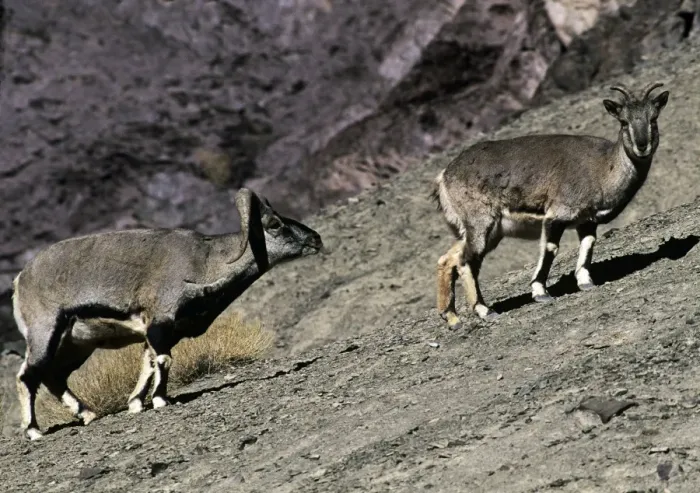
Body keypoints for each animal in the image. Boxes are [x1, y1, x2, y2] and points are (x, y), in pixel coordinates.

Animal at [12, 188, 323, 440]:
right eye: (275, 224)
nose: (316, 240)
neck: (204, 264)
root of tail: (20, 280)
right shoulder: (161, 320)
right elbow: (162, 359)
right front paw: (161, 400)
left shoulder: (163, 331)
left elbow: (149, 362)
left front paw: (136, 404)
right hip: (46, 333)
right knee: (28, 375)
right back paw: (34, 431)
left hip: (76, 345)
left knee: (54, 376)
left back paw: (87, 414)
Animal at [431, 82, 669, 325]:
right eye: (623, 121)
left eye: (653, 118)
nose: (642, 146)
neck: (603, 168)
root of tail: (444, 177)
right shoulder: (557, 215)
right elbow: (550, 248)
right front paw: (541, 293)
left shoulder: (587, 221)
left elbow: (588, 244)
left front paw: (586, 282)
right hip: (480, 223)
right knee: (466, 261)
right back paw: (484, 310)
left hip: (487, 231)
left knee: (448, 258)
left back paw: (452, 317)